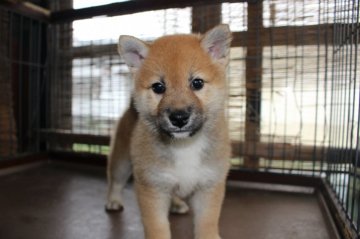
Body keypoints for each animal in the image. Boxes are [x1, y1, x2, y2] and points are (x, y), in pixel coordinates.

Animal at [105, 24, 232, 239]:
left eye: (197, 83)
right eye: (158, 87)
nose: (179, 118)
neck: (185, 146)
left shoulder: (209, 186)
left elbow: (206, 223)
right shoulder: (152, 187)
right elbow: (157, 227)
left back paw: (177, 204)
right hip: (122, 160)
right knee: (116, 181)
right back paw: (113, 200)